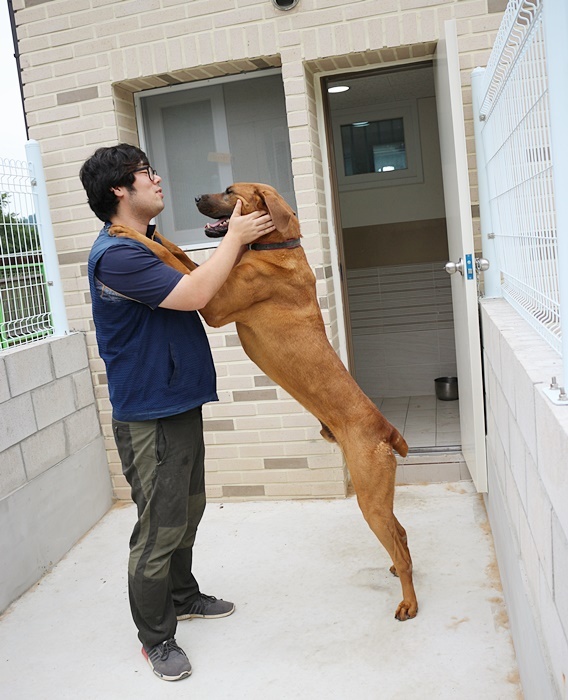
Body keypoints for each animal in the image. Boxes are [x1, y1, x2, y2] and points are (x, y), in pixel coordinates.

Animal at [110, 183, 418, 620]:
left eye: (229, 191)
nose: (196, 198)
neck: (274, 246)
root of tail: (386, 428)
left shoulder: (212, 304)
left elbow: (172, 259)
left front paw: (126, 231)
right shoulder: (212, 282)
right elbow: (179, 253)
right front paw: (154, 232)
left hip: (369, 498)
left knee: (399, 543)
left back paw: (409, 602)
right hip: (378, 496)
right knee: (401, 534)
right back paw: (395, 566)